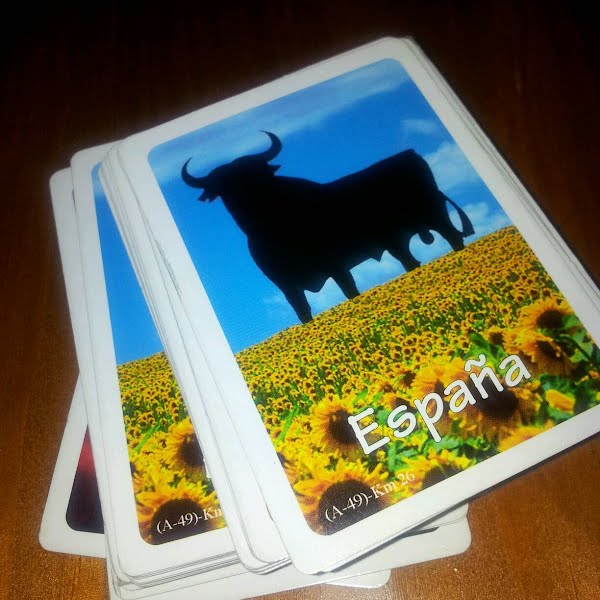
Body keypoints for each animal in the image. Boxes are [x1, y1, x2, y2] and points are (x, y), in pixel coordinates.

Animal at [181, 131, 474, 324]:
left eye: (254, 174)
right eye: (225, 186)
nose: (246, 199)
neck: (270, 226)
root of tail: (411, 155)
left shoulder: (335, 266)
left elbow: (349, 291)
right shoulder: (287, 287)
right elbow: (303, 311)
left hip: (437, 217)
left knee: (453, 240)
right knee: (410, 260)